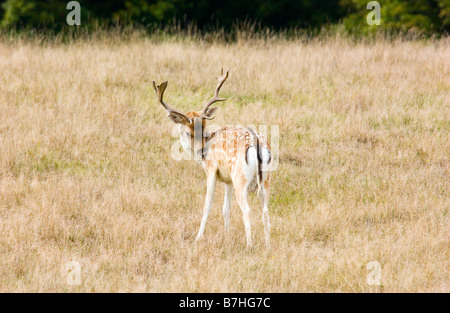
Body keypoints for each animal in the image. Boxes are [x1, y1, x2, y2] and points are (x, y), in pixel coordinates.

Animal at [153, 69, 270, 249]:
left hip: (240, 179)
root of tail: (256, 142)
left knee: (247, 210)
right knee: (265, 211)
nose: (200, 151)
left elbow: (207, 206)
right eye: (187, 131)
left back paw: (249, 245)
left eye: (203, 127)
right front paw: (227, 235)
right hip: (265, 180)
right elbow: (225, 208)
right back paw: (268, 246)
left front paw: (197, 238)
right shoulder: (228, 180)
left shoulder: (211, 170)